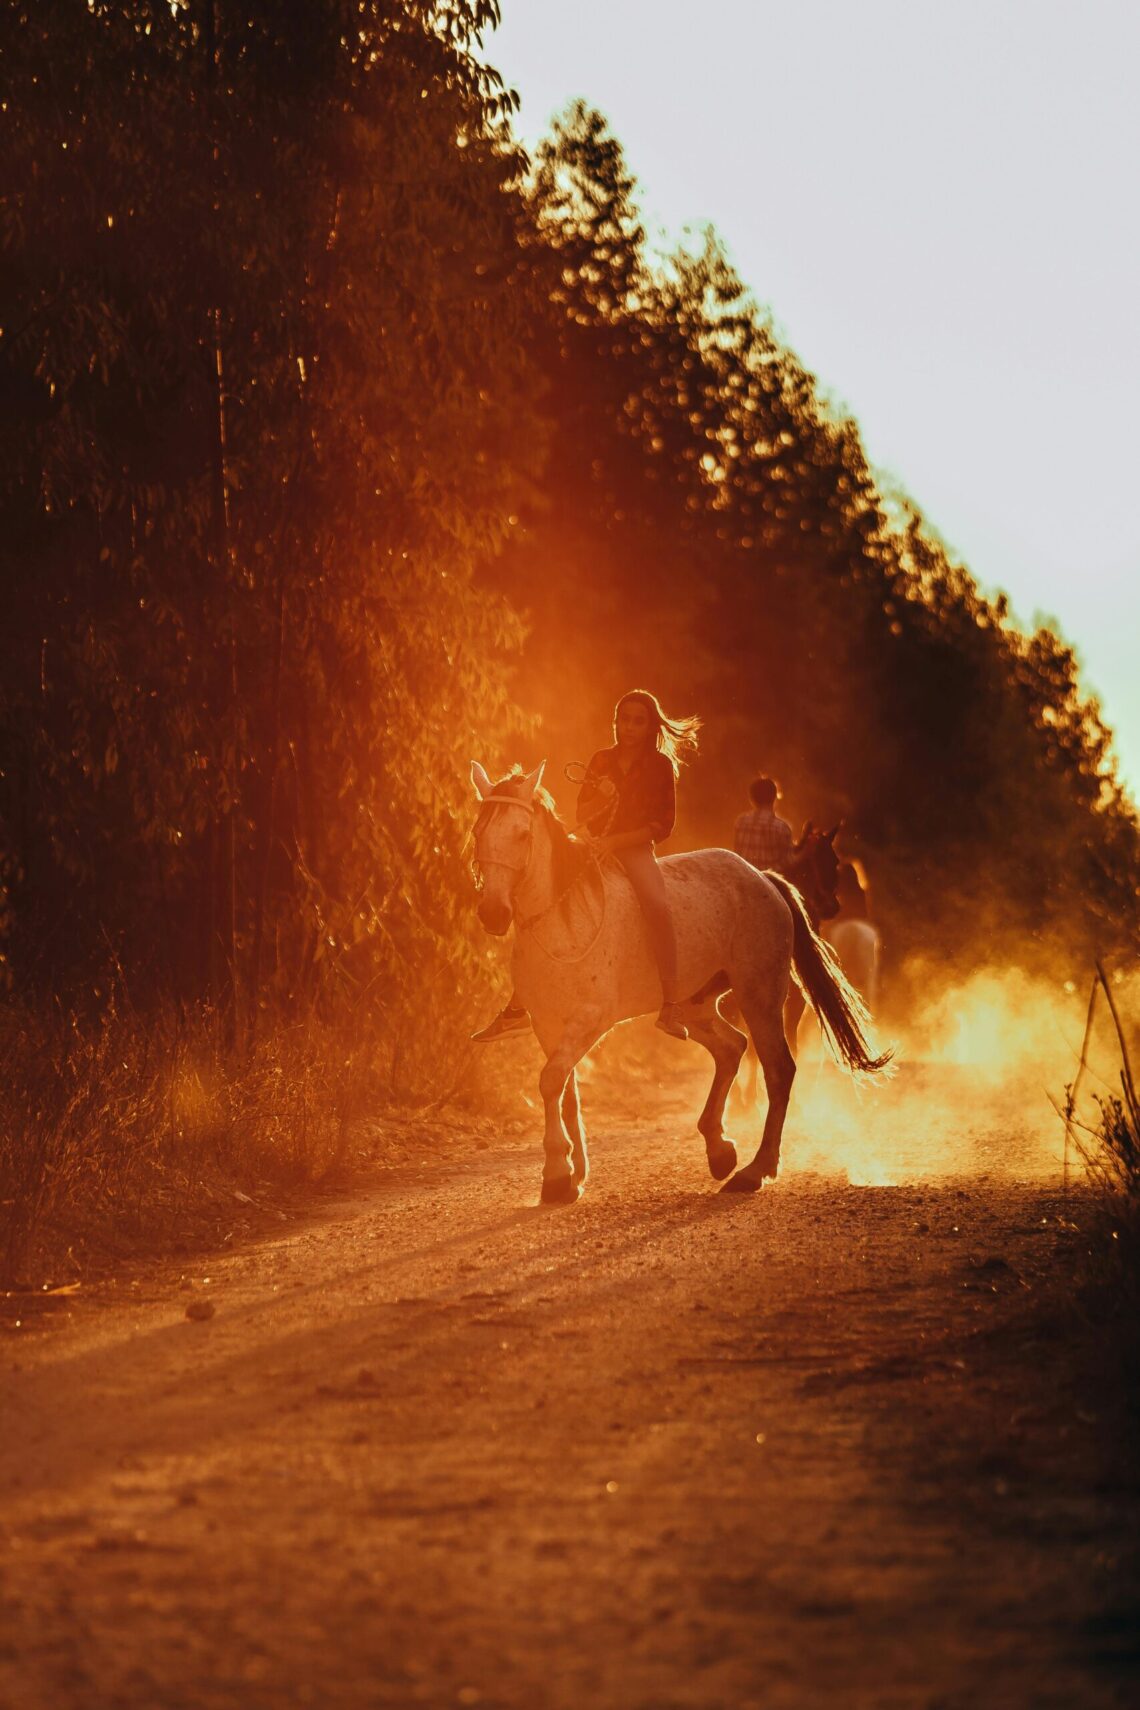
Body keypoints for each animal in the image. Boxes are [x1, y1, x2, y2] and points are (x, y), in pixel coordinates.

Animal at [471, 762, 888, 1203]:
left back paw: (754, 1171)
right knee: (732, 1048)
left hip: (759, 995)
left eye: (522, 834)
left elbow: (551, 1081)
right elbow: (565, 1092)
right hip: (698, 1005)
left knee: (778, 1069)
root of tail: (762, 879)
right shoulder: (547, 1024)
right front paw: (571, 1175)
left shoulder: (589, 1020)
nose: (493, 913)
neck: (560, 920)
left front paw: (556, 1175)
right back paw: (720, 1151)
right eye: (479, 831)